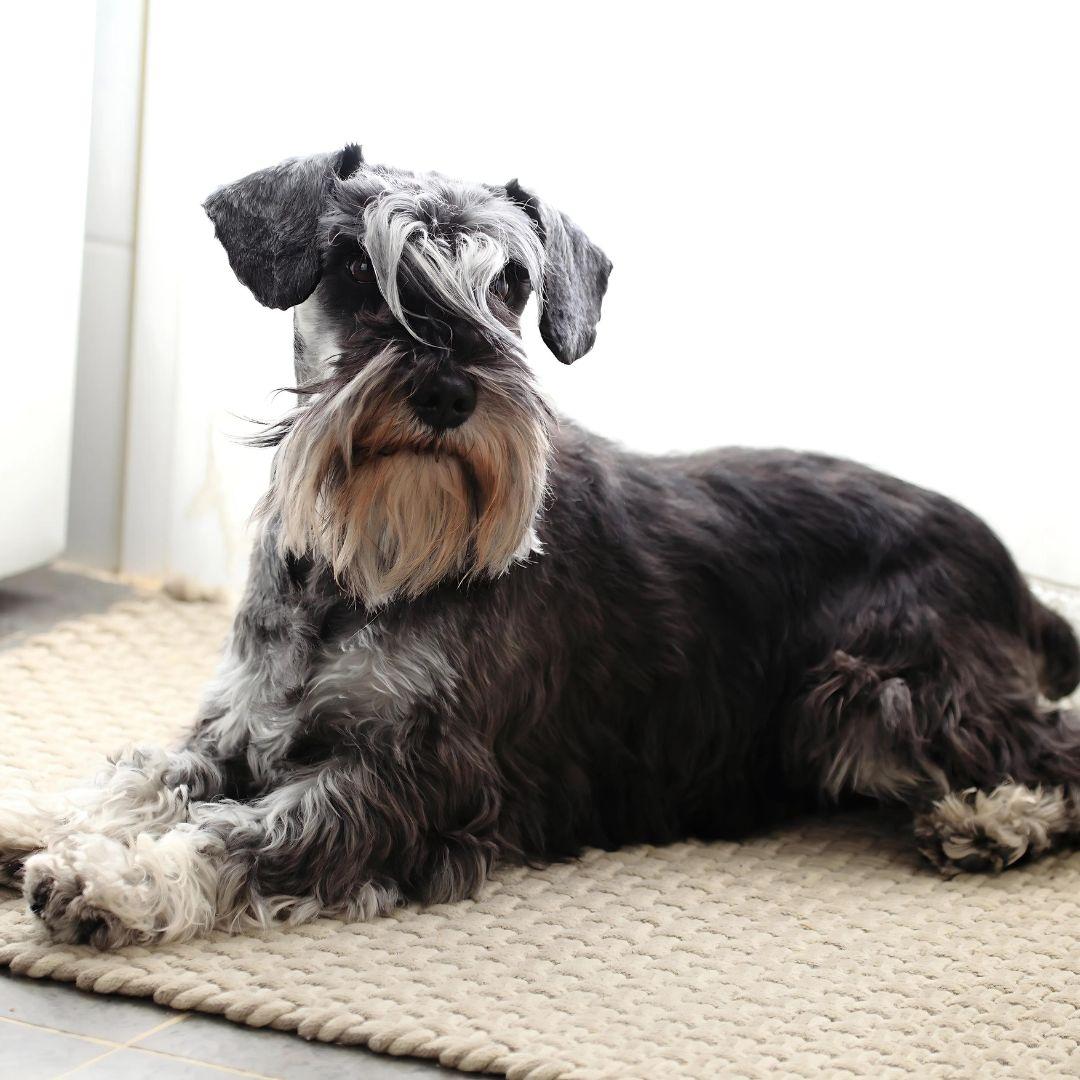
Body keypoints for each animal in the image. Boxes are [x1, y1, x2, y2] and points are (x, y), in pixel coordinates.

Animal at [0, 145, 1075, 946]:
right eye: (354, 267)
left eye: (512, 283)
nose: (447, 389)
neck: (364, 569)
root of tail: (1013, 577)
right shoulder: (238, 722)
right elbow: (144, 772)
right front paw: (39, 817)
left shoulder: (417, 782)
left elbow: (250, 830)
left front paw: (117, 878)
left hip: (876, 690)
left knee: (1051, 745)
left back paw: (994, 818)